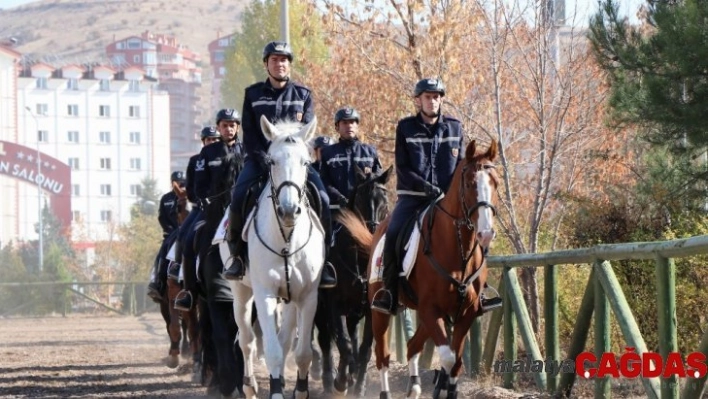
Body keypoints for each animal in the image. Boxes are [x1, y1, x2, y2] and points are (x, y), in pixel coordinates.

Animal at [228, 115, 324, 399]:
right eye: (271, 161)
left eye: (306, 162)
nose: (289, 210)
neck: (287, 240)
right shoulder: (265, 294)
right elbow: (271, 351)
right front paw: (276, 390)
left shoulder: (308, 296)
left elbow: (301, 352)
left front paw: (299, 390)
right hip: (241, 292)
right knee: (246, 340)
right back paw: (250, 385)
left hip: (290, 297)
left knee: (284, 340)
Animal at [316, 165, 392, 396]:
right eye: (359, 199)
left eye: (385, 200)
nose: (372, 234)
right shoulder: (334, 305)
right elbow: (344, 343)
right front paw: (341, 382)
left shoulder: (371, 308)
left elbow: (364, 349)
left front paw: (358, 386)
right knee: (326, 341)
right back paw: (330, 381)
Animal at [338, 139, 498, 398]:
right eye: (469, 183)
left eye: (494, 183)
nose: (486, 234)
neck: (458, 250)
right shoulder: (430, 309)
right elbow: (447, 357)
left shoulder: (465, 313)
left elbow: (455, 362)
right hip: (380, 312)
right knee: (382, 357)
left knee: (413, 345)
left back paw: (413, 386)